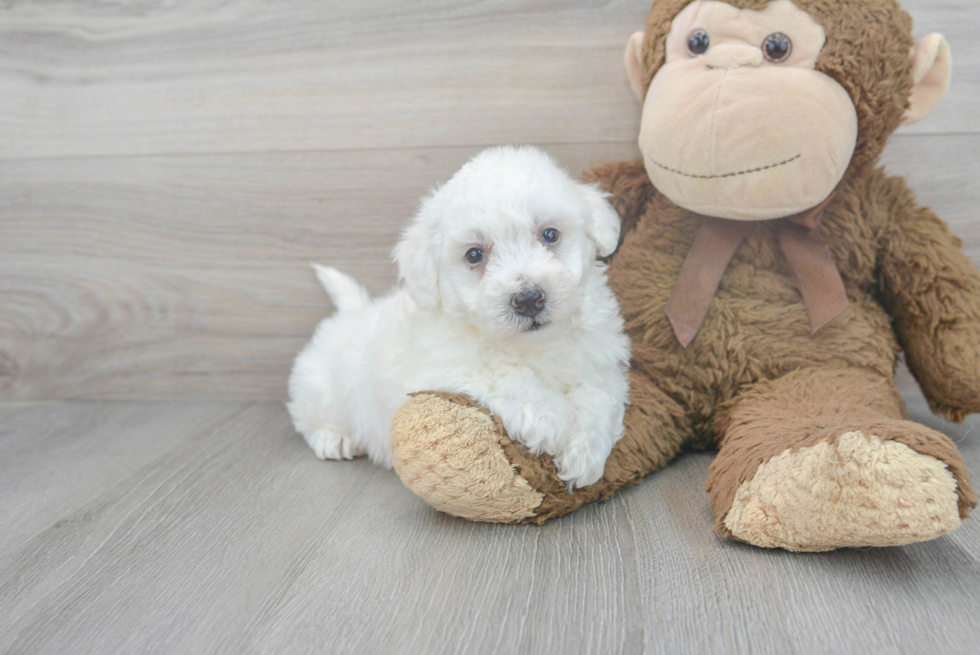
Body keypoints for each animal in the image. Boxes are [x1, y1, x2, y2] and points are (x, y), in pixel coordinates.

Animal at [288, 146, 632, 490]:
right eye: (474, 255)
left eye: (550, 234)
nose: (528, 299)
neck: (534, 345)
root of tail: (352, 311)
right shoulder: (442, 367)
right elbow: (499, 373)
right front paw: (548, 416)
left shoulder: (602, 363)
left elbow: (601, 395)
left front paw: (584, 453)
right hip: (320, 388)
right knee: (308, 417)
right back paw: (333, 439)